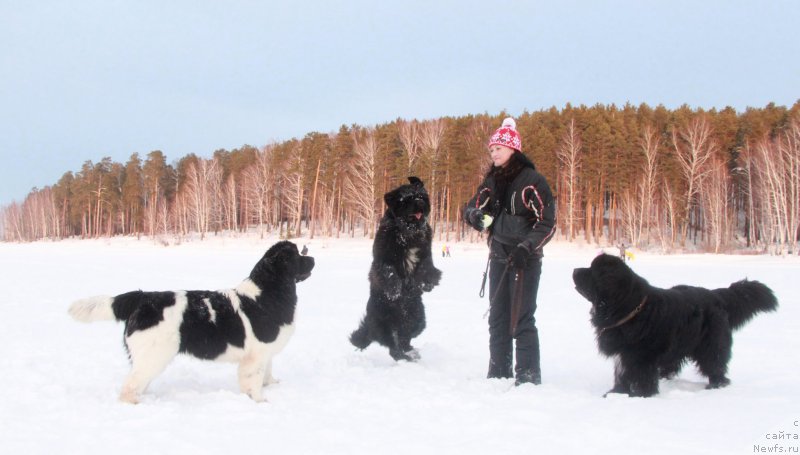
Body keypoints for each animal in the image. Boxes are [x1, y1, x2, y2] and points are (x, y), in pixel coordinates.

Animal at [68, 240, 312, 404]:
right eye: (296, 255)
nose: (312, 257)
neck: (267, 293)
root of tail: (142, 297)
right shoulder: (256, 355)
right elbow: (253, 380)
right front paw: (260, 401)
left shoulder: (265, 352)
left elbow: (267, 372)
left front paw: (271, 386)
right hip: (154, 355)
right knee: (130, 386)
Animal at [350, 176, 444, 362]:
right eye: (406, 199)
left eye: (422, 196)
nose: (419, 202)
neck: (408, 234)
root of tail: (370, 327)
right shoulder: (383, 258)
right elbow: (389, 272)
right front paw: (394, 291)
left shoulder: (425, 253)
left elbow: (427, 268)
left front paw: (427, 284)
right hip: (386, 324)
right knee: (394, 348)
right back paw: (406, 357)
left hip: (418, 320)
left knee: (405, 339)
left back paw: (411, 353)